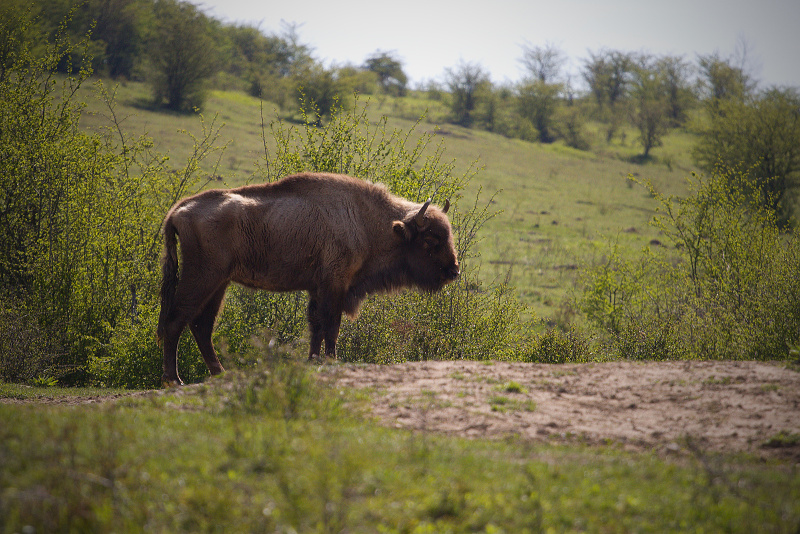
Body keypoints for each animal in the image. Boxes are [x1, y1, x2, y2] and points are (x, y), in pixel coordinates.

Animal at [156, 174, 460, 388]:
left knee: (201, 326)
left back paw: (220, 373)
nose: (454, 271)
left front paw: (312, 360)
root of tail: (178, 210)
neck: (370, 222)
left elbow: (316, 325)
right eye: (430, 240)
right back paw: (174, 379)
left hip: (219, 283)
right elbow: (331, 325)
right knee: (176, 321)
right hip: (202, 278)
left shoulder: (318, 288)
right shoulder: (335, 285)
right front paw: (330, 360)